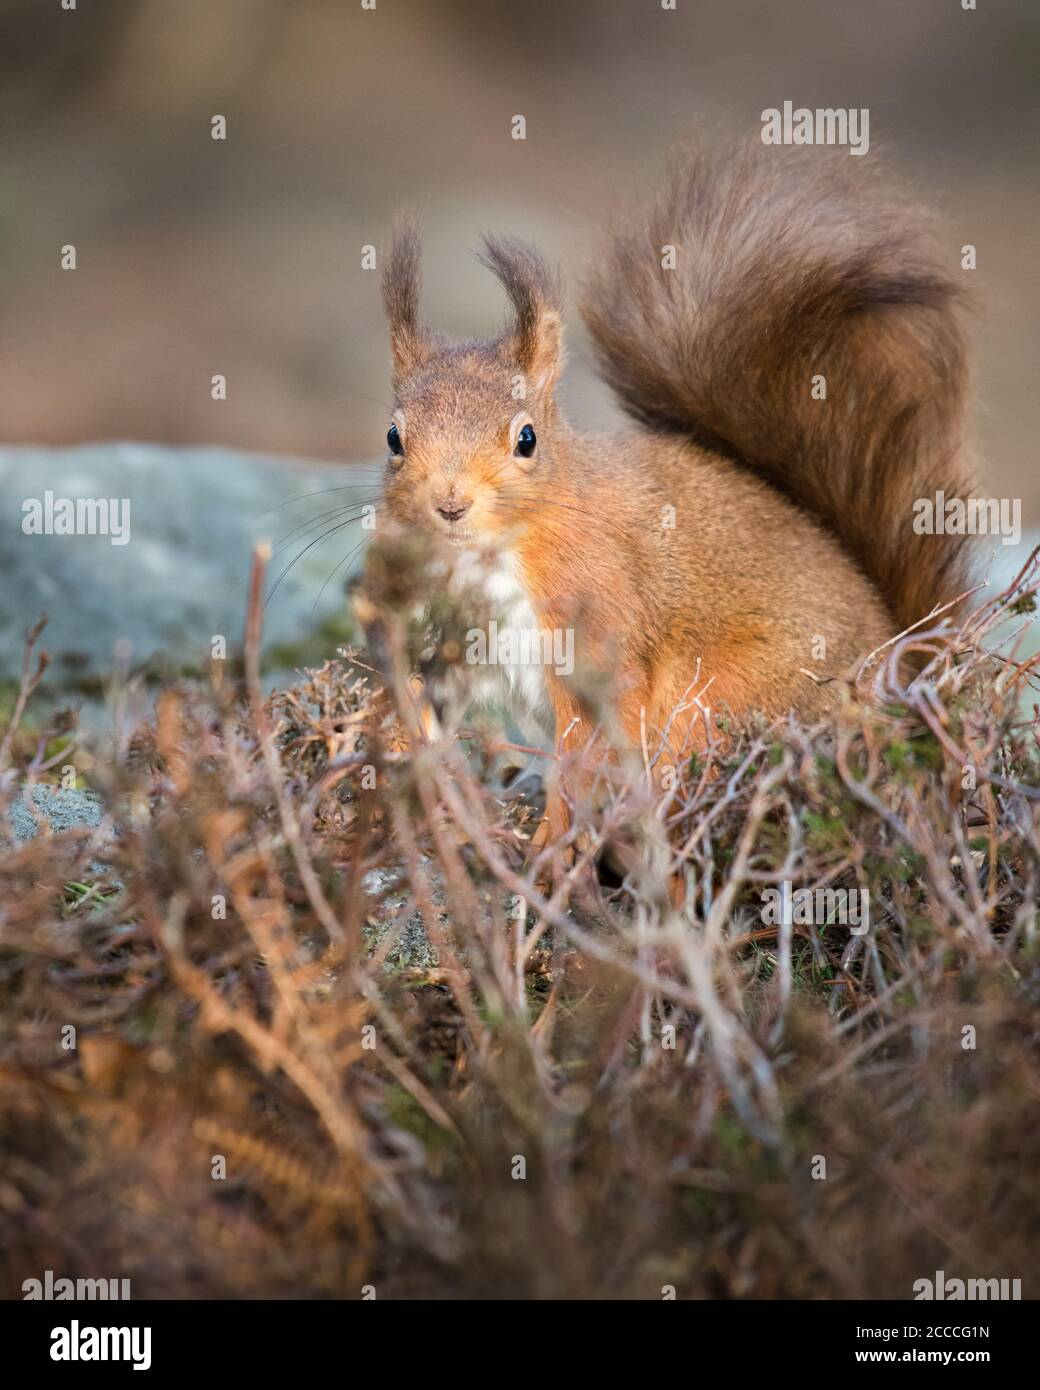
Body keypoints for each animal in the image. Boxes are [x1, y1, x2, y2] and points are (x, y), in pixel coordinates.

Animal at [369, 146, 973, 850]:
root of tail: (906, 676)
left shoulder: (596, 625)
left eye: (526, 439)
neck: (489, 556)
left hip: (722, 697)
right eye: (393, 437)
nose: (449, 504)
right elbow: (427, 698)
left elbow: (584, 747)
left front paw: (549, 846)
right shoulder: (452, 633)